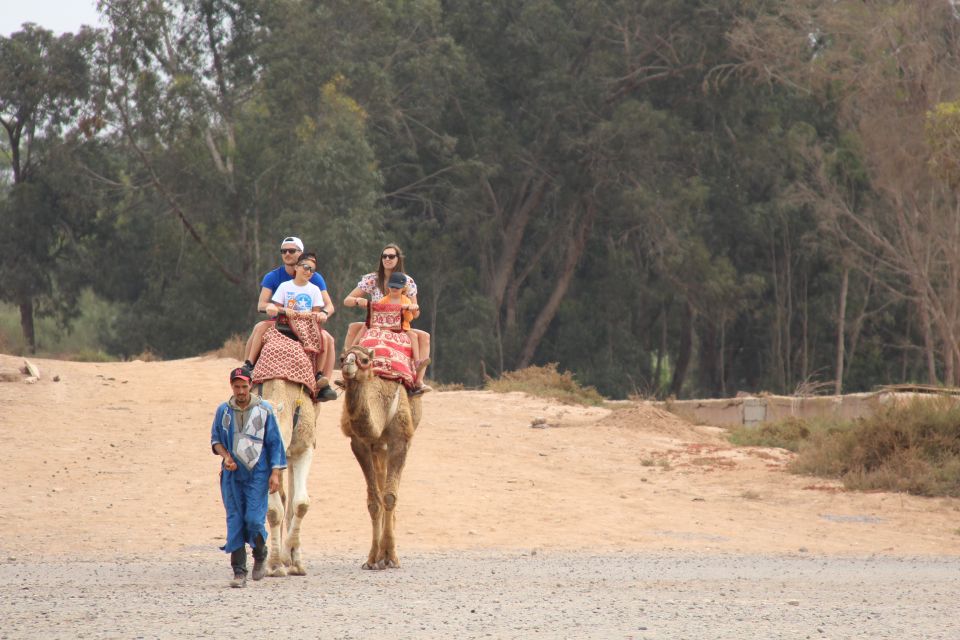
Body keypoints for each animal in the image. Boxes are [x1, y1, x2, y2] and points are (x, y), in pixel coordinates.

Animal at [342, 344, 424, 568]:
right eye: (342, 357)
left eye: (364, 360)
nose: (347, 365)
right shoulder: (359, 444)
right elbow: (373, 501)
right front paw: (373, 559)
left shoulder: (400, 440)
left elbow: (389, 496)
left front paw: (390, 556)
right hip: (379, 448)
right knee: (380, 480)